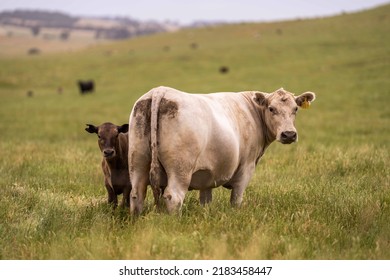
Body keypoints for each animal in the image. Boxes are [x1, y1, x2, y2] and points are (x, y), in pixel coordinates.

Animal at [129, 86, 316, 213]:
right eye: (271, 109)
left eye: (295, 109)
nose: (289, 134)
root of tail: (159, 91)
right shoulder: (246, 168)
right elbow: (236, 200)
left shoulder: (207, 176)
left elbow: (205, 201)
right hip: (180, 170)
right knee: (173, 197)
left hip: (137, 163)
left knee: (136, 195)